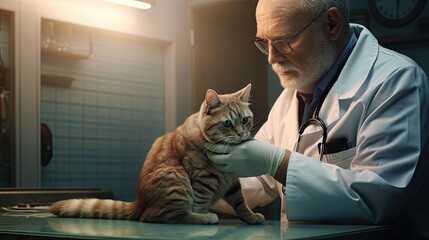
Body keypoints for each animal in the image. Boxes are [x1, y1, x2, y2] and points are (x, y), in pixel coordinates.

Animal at [51, 83, 264, 224]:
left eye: (245, 120)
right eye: (227, 123)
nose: (241, 134)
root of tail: (141, 203)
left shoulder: (232, 180)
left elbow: (241, 202)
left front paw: (250, 217)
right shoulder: (203, 181)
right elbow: (200, 203)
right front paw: (205, 216)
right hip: (176, 179)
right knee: (160, 216)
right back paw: (204, 218)